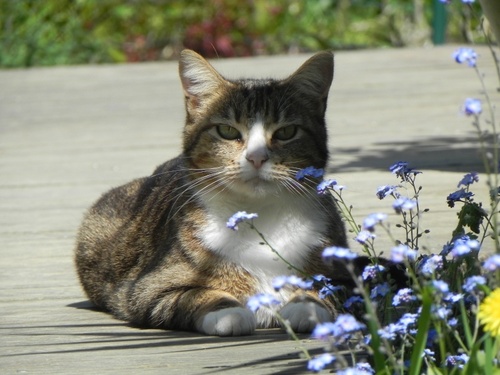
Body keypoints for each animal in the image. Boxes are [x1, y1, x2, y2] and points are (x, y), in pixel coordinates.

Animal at [75, 48, 352, 336]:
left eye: (286, 131)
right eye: (227, 130)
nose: (256, 158)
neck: (259, 214)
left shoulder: (345, 274)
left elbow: (331, 288)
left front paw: (307, 305)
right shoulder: (148, 288)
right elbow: (192, 294)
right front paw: (227, 312)